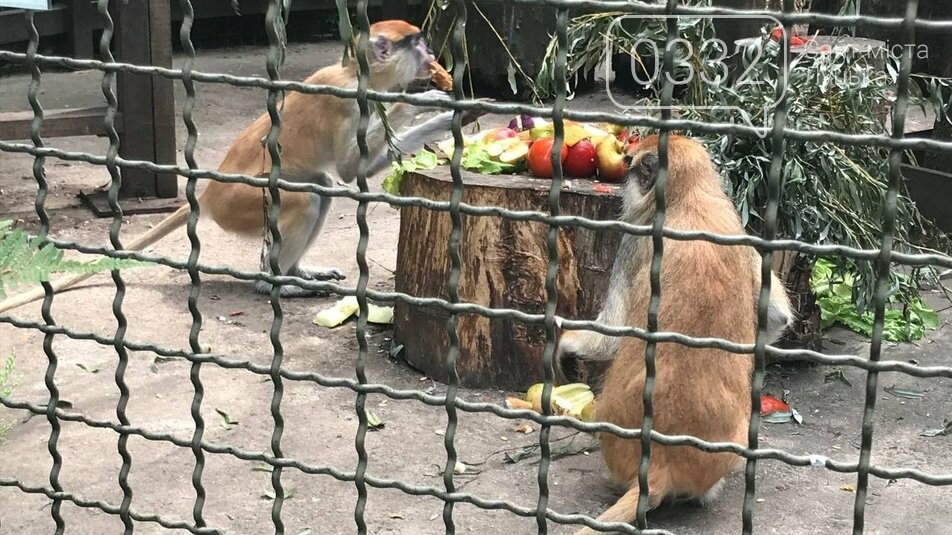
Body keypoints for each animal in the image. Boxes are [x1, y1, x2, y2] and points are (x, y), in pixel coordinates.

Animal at [0, 19, 476, 314]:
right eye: (416, 43)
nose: (430, 53)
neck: (358, 77)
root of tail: (210, 190)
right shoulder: (343, 103)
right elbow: (345, 170)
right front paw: (430, 99)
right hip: (240, 203)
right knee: (311, 191)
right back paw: (276, 283)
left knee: (317, 189)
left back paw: (298, 273)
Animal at [556, 133, 796, 532]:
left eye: (633, 165)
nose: (625, 177)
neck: (688, 198)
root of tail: (660, 468)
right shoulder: (739, 233)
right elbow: (777, 318)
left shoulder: (636, 237)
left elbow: (609, 337)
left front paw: (568, 343)